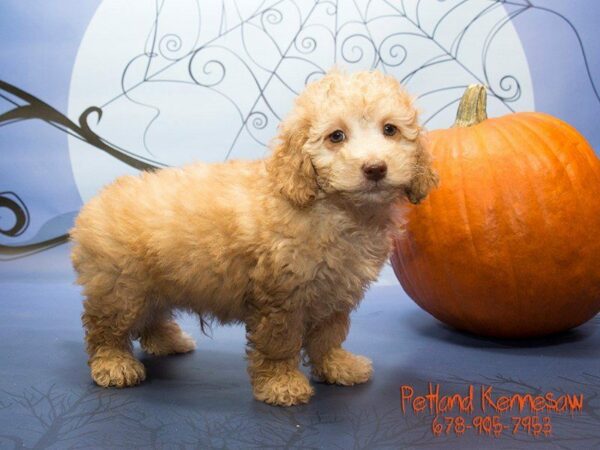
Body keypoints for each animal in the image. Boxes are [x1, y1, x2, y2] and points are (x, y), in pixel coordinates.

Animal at [70, 69, 438, 408]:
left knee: (152, 315)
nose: (375, 168)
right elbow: (280, 343)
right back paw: (113, 364)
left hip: (154, 282)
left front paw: (337, 366)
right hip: (120, 287)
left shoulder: (333, 293)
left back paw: (166, 341)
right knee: (104, 328)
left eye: (390, 130)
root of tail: (94, 204)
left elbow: (328, 335)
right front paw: (281, 384)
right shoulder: (280, 296)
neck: (337, 209)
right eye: (336, 136)